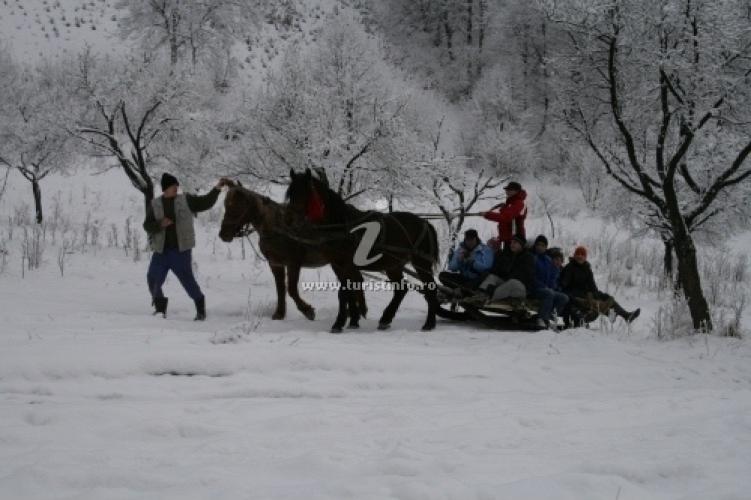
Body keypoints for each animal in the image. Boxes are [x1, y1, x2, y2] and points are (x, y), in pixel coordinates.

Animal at [217, 182, 368, 322]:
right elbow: (280, 289)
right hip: (338, 263)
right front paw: (279, 313)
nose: (223, 234)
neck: (278, 227)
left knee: (355, 280)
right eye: (226, 206)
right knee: (353, 281)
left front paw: (307, 310)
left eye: (236, 208)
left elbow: (291, 289)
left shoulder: (293, 263)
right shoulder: (275, 263)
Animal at [286, 168, 440, 332]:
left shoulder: (346, 264)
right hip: (393, 264)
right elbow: (348, 290)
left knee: (430, 289)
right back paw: (385, 319)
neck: (342, 225)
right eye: (291, 194)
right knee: (401, 288)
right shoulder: (337, 265)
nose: (290, 222)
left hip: (421, 263)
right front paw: (352, 320)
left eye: (306, 193)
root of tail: (424, 222)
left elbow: (345, 292)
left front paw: (339, 323)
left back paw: (429, 323)